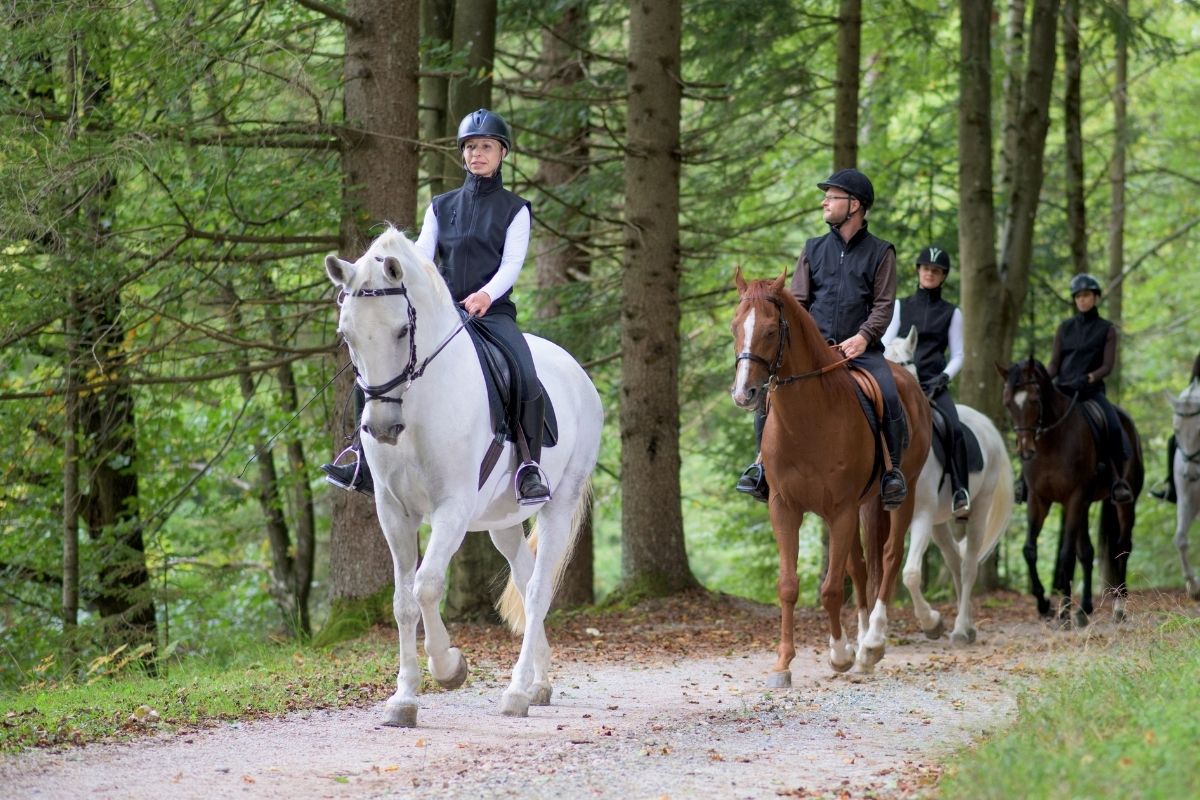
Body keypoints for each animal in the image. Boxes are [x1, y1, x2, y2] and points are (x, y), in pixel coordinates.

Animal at [324, 226, 603, 726]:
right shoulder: (393, 511)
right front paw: (404, 699)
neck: (417, 403)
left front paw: (449, 667)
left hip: (559, 503)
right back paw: (539, 684)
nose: (382, 427)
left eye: (402, 330)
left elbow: (427, 586)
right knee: (525, 578)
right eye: (346, 334)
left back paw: (516, 692)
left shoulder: (450, 508)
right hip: (502, 521)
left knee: (538, 589)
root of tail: (578, 374)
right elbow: (402, 601)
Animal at [730, 269, 931, 681]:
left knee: (889, 557)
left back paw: (872, 644)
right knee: (862, 566)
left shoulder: (840, 511)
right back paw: (862, 641)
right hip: (863, 506)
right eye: (734, 327)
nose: (744, 394)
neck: (807, 420)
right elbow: (789, 585)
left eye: (771, 331)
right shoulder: (785, 507)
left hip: (902, 495)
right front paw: (783, 663)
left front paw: (840, 655)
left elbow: (831, 589)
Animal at [884, 328, 1014, 644]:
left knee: (968, 566)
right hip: (939, 522)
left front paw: (931, 622)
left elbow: (911, 574)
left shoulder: (920, 516)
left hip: (978, 509)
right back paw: (967, 625)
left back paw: (960, 629)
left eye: (905, 363)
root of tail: (987, 425)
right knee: (955, 561)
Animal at [996, 358, 1143, 626]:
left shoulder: (1074, 498)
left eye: (1034, 399)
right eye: (1008, 403)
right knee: (1087, 552)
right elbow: (1030, 550)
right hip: (1085, 505)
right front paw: (1045, 605)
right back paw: (1084, 609)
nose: (1025, 451)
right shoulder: (1039, 500)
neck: (1051, 442)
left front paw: (1063, 612)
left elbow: (1066, 554)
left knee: (1122, 547)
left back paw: (1118, 608)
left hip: (1125, 503)